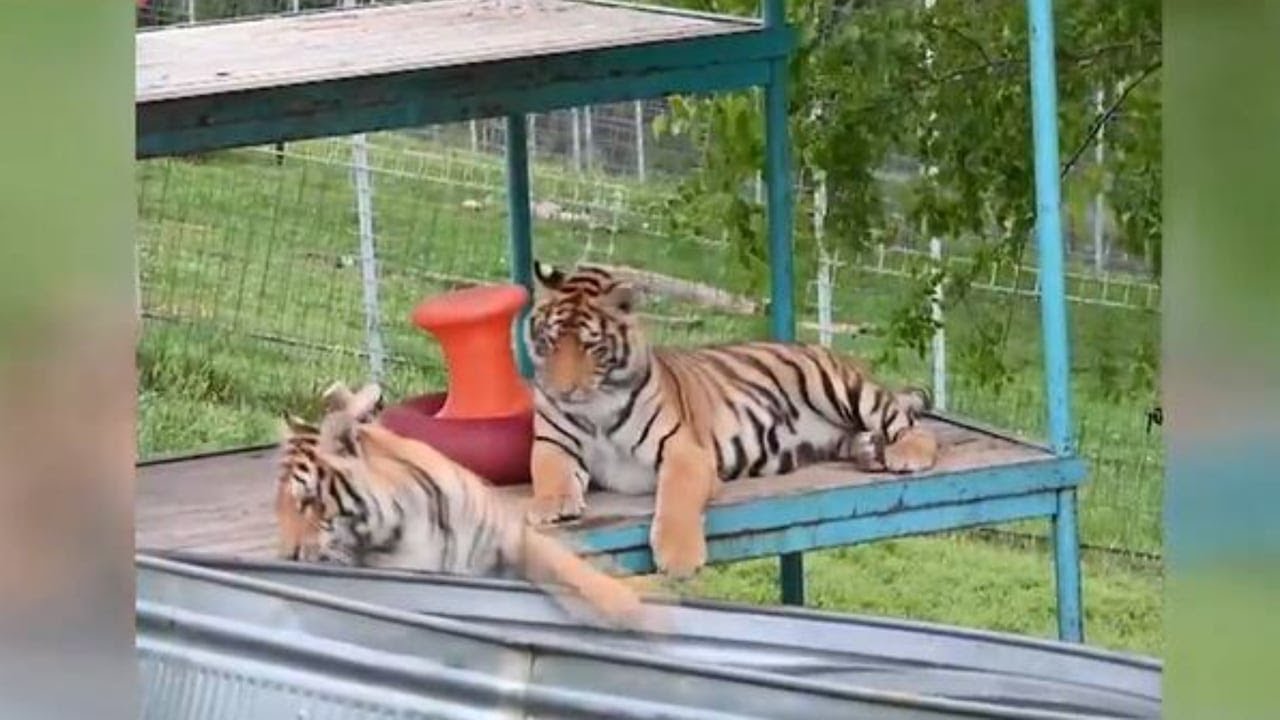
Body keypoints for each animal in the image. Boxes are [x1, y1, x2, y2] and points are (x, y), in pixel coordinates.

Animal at [275, 380, 656, 631]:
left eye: (308, 500)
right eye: (278, 509)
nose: (286, 557)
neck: (399, 525)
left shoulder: (515, 538)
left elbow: (574, 573)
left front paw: (635, 615)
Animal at [523, 261, 940, 579]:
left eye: (591, 347)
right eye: (550, 342)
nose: (562, 391)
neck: (597, 405)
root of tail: (819, 346)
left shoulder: (685, 452)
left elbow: (675, 499)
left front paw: (679, 559)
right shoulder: (553, 444)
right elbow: (550, 473)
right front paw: (548, 506)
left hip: (840, 388)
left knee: (907, 422)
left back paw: (906, 454)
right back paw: (870, 450)